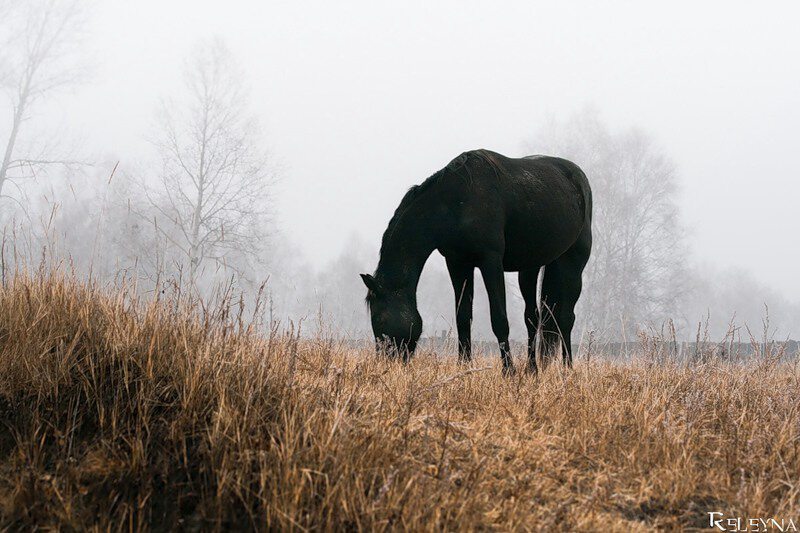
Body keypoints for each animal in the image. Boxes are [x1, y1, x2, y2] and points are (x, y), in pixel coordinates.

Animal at [360, 149, 592, 374]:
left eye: (379, 319)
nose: (386, 363)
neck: (456, 203)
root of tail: (579, 177)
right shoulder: (457, 263)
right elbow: (463, 317)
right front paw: (464, 367)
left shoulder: (491, 262)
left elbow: (499, 319)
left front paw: (508, 371)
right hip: (530, 268)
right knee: (532, 318)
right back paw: (532, 369)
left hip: (573, 263)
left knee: (565, 318)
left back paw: (567, 369)